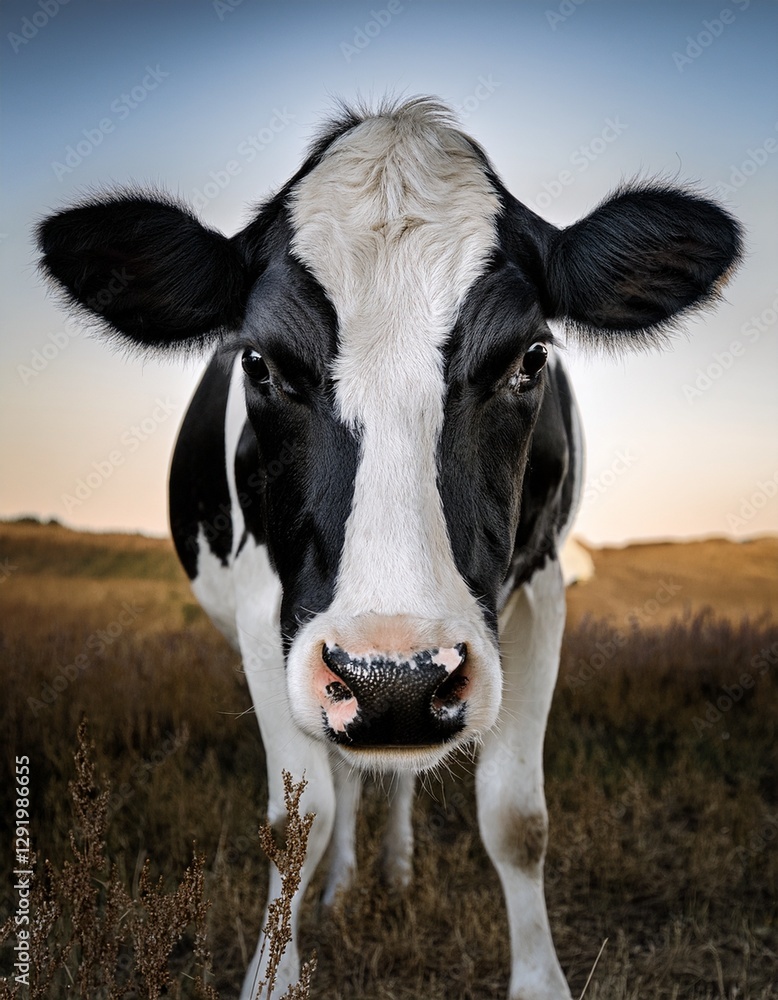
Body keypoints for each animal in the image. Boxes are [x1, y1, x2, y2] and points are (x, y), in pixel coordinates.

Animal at [37, 97, 741, 1000]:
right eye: (258, 361)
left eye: (529, 359)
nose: (392, 680)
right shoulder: (267, 609)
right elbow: (297, 817)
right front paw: (274, 971)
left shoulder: (540, 587)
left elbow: (517, 818)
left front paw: (537, 976)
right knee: (342, 774)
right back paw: (344, 882)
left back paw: (393, 868)